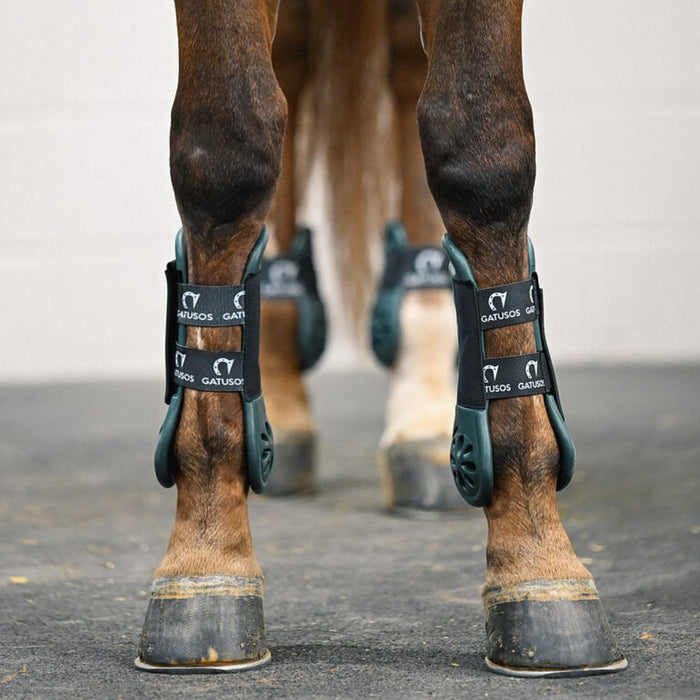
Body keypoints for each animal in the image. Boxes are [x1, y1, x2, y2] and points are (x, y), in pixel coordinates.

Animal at [135, 0, 627, 677]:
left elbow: (480, 151)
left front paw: (539, 565)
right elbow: (230, 147)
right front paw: (206, 561)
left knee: (409, 72)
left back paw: (424, 421)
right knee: (290, 68)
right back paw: (281, 404)